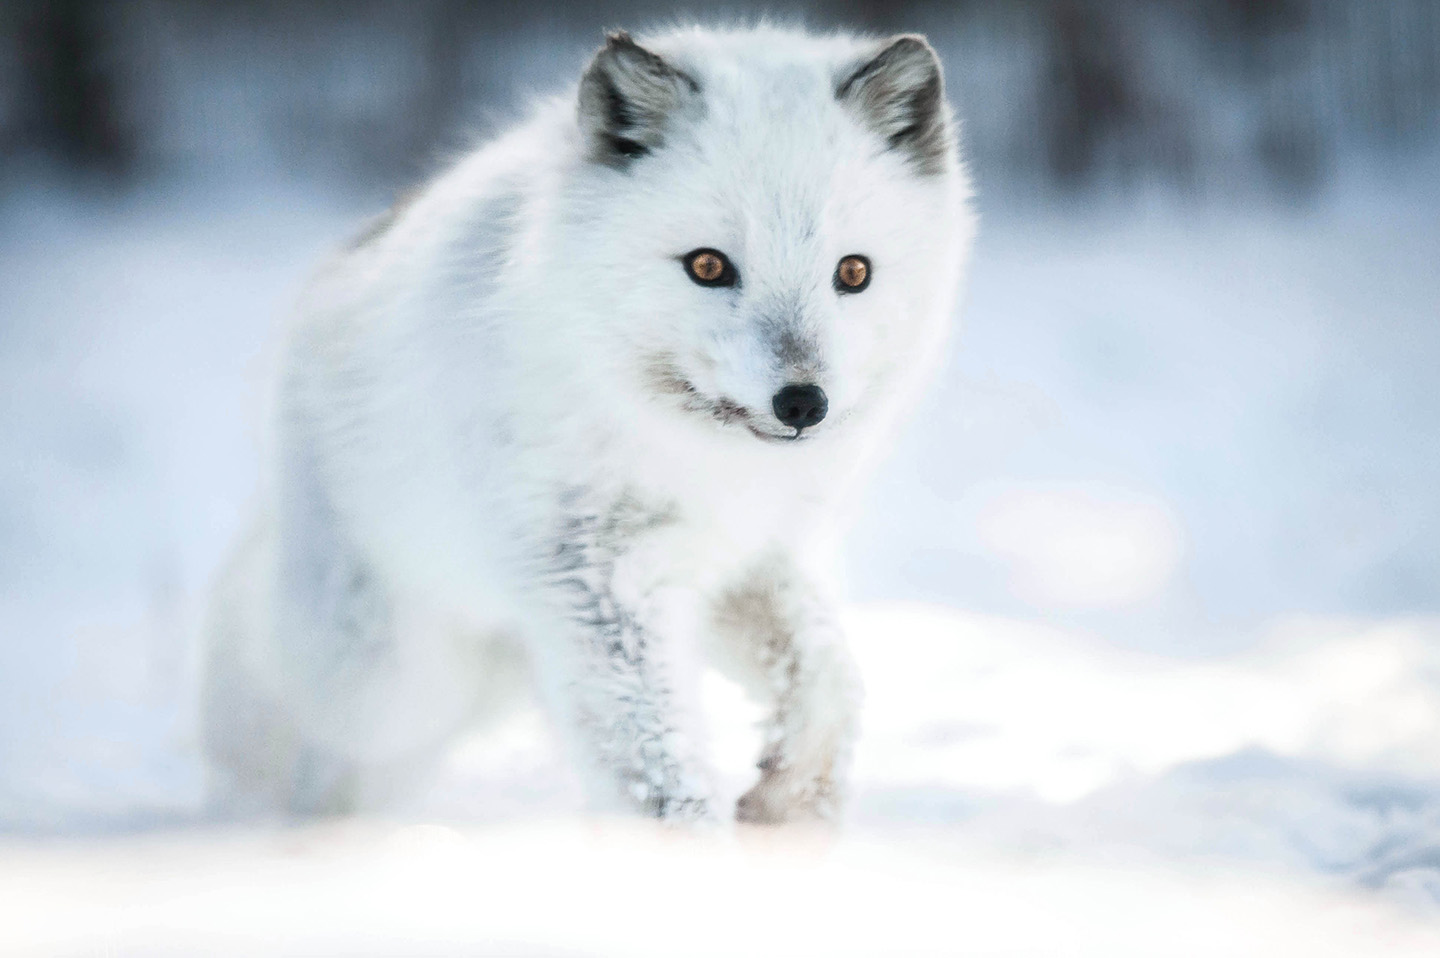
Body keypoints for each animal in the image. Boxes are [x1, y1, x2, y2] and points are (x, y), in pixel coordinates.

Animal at [202, 25, 975, 825]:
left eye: (853, 273)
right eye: (708, 266)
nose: (802, 403)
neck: (695, 459)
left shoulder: (746, 560)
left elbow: (828, 676)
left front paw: (791, 797)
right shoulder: (597, 583)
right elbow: (659, 773)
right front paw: (698, 848)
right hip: (389, 680)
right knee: (284, 691)